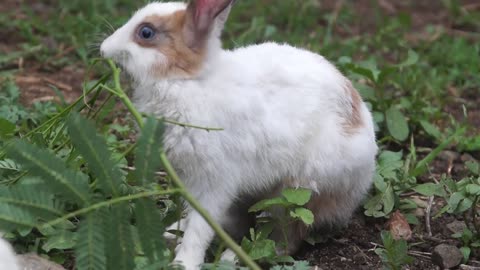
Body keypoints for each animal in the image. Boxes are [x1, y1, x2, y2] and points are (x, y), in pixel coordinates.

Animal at [102, 1, 378, 268]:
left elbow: (200, 225)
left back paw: (231, 258)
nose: (104, 48)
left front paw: (184, 263)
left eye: (146, 33)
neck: (188, 81)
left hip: (296, 194)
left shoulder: (215, 181)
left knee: (285, 239)